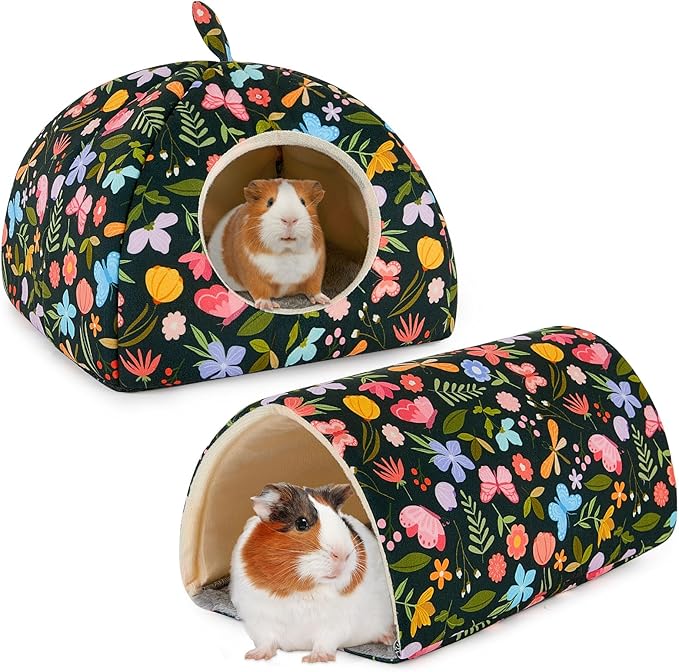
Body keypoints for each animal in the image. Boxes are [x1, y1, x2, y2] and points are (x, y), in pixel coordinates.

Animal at [207, 178, 329, 311]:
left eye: (303, 202)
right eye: (269, 202)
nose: (290, 219)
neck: (287, 251)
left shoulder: (316, 270)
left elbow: (314, 287)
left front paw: (325, 301)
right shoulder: (251, 273)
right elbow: (259, 289)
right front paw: (267, 306)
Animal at [230, 482, 396, 663]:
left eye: (342, 521)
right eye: (301, 523)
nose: (343, 554)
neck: (304, 589)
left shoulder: (335, 624)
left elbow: (325, 643)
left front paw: (314, 659)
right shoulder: (259, 620)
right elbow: (266, 641)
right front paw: (253, 656)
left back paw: (389, 638)